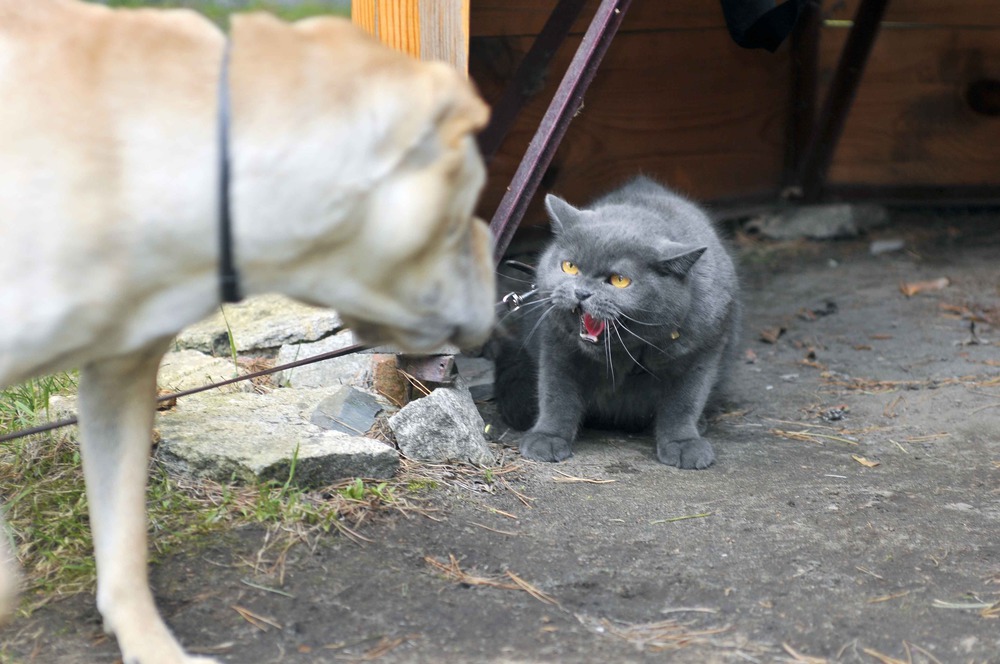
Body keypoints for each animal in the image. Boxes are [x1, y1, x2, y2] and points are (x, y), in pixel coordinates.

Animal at [494, 174, 744, 470]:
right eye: (569, 266)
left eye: (619, 280)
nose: (581, 292)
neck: (625, 354)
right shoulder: (557, 345)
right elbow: (556, 394)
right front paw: (547, 437)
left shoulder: (703, 352)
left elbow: (684, 402)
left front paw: (684, 444)